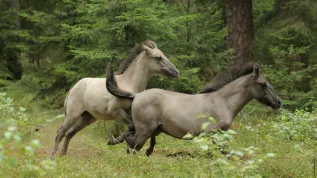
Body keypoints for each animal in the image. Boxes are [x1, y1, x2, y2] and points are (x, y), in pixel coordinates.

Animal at [48, 40, 178, 157]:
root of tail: (72, 89)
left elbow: (136, 129)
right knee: (60, 132)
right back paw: (53, 156)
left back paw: (63, 155)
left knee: (69, 133)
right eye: (158, 57)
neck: (128, 84)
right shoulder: (117, 111)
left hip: (87, 118)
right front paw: (115, 141)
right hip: (72, 115)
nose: (176, 72)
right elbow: (132, 127)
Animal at [105, 62, 280, 156]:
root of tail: (136, 95)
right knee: (133, 147)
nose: (278, 102)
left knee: (128, 142)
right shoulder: (214, 134)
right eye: (264, 84)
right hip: (144, 131)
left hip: (146, 129)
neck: (222, 101)